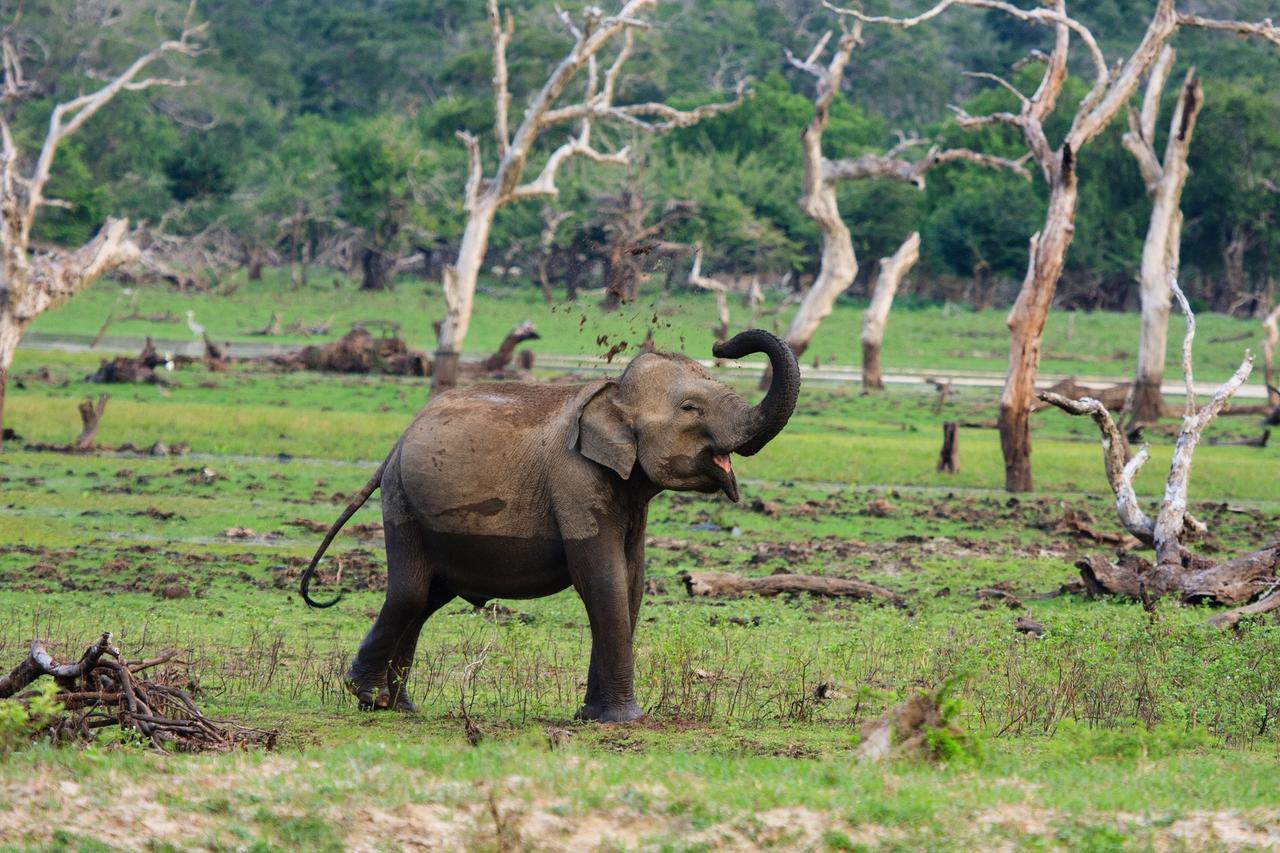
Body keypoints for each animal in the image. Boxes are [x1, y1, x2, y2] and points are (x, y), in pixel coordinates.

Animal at [299, 327, 798, 722]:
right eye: (690, 408)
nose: (720, 342)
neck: (611, 393)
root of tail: (398, 441)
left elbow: (631, 581)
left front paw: (591, 716)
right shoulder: (575, 479)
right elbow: (602, 578)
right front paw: (624, 720)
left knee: (425, 599)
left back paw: (398, 706)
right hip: (401, 499)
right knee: (409, 592)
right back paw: (369, 697)